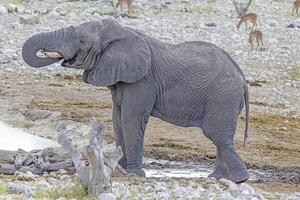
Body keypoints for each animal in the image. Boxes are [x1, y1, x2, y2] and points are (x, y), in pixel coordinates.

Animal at [22, 18, 250, 183]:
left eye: (82, 41)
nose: (46, 50)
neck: (121, 32)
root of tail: (241, 75)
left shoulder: (143, 80)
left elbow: (130, 119)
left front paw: (134, 173)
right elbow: (117, 118)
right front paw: (120, 168)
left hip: (222, 96)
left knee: (216, 135)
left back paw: (239, 179)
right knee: (220, 137)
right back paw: (219, 178)